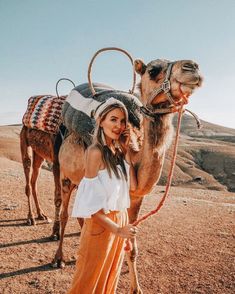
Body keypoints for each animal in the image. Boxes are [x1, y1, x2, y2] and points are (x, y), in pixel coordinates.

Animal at [52, 57, 203, 292]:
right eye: (153, 70)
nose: (192, 67)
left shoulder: (136, 198)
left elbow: (131, 246)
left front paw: (136, 287)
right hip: (66, 175)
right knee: (65, 212)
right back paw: (58, 258)